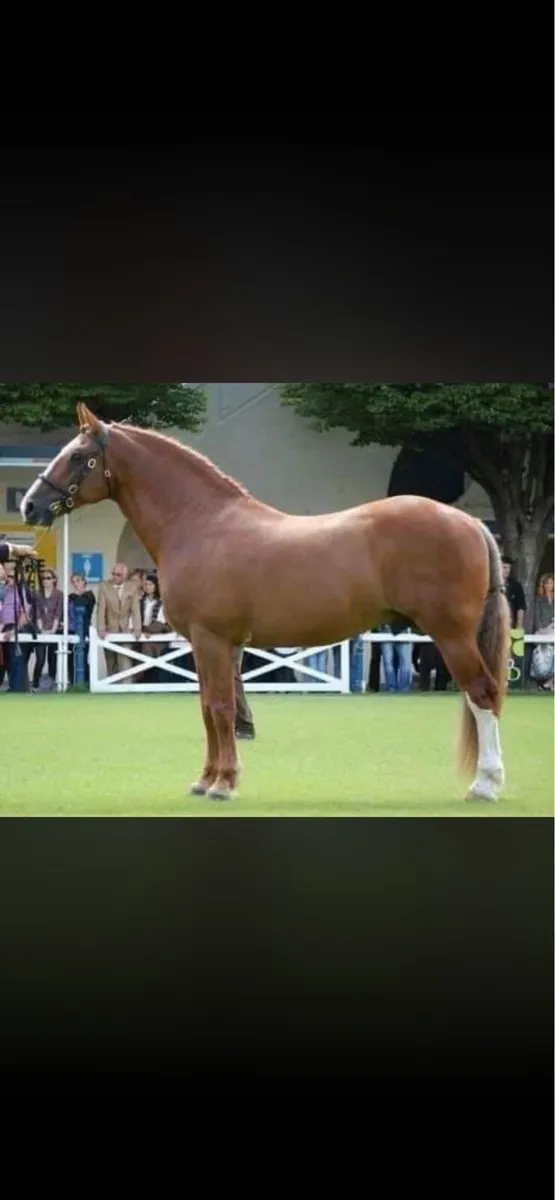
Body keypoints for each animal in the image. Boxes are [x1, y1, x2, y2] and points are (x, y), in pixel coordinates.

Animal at [20, 401, 511, 804]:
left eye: (77, 457)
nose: (29, 506)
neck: (200, 523)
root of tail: (468, 521)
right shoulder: (212, 645)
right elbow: (209, 707)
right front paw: (206, 779)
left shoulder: (212, 639)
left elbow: (220, 707)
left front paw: (222, 783)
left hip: (451, 635)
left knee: (482, 694)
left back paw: (485, 785)